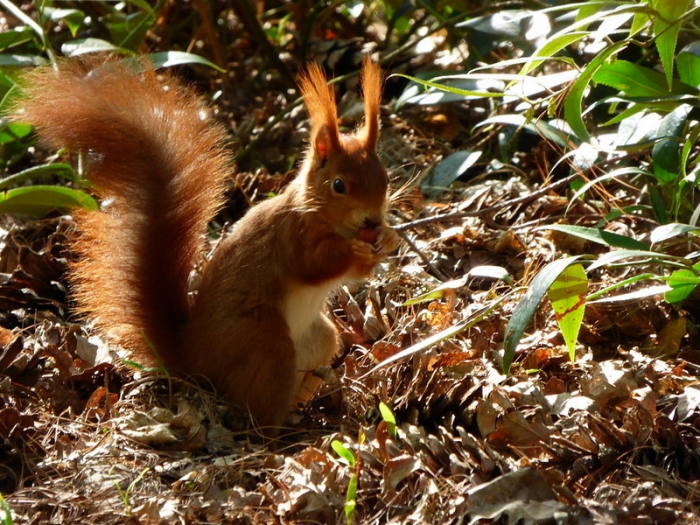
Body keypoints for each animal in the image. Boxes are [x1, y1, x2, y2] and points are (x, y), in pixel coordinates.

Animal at [10, 56, 398, 434]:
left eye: (385, 177)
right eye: (338, 185)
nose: (372, 219)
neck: (324, 216)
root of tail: (196, 360)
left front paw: (389, 238)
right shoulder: (292, 234)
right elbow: (313, 263)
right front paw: (354, 250)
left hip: (319, 339)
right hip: (265, 340)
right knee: (261, 413)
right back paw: (281, 430)